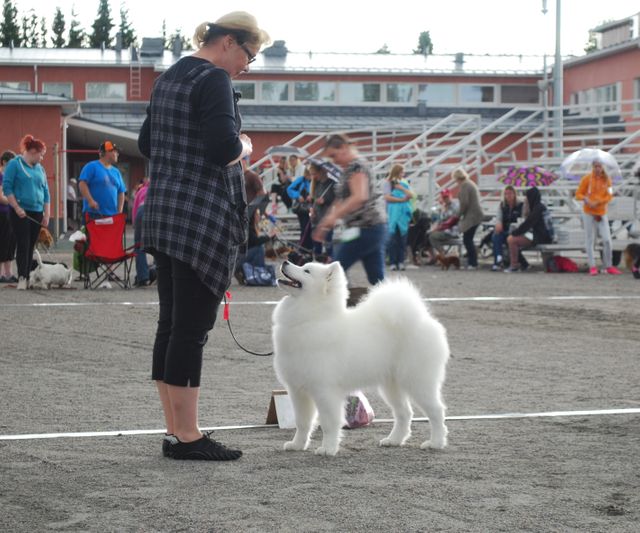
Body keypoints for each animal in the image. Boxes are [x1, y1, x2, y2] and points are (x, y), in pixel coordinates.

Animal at [272, 260, 450, 456]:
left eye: (307, 271)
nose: (285, 261)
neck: (312, 318)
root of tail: (424, 320)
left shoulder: (324, 391)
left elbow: (329, 423)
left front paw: (328, 449)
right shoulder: (297, 390)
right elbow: (302, 422)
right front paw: (297, 445)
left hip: (417, 381)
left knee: (436, 411)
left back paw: (436, 442)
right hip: (391, 386)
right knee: (404, 413)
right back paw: (394, 440)